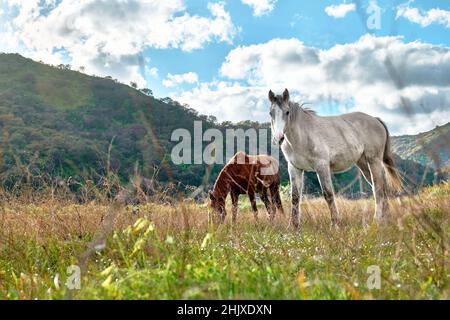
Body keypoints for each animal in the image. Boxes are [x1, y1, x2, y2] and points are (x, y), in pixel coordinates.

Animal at [268, 89, 402, 228]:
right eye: (270, 113)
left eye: (287, 112)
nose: (278, 138)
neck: (302, 136)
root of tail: (375, 119)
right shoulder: (295, 168)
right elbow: (295, 197)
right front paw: (293, 226)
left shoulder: (322, 166)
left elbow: (328, 194)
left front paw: (335, 224)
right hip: (364, 164)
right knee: (382, 187)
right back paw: (386, 219)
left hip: (374, 161)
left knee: (378, 188)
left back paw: (377, 219)